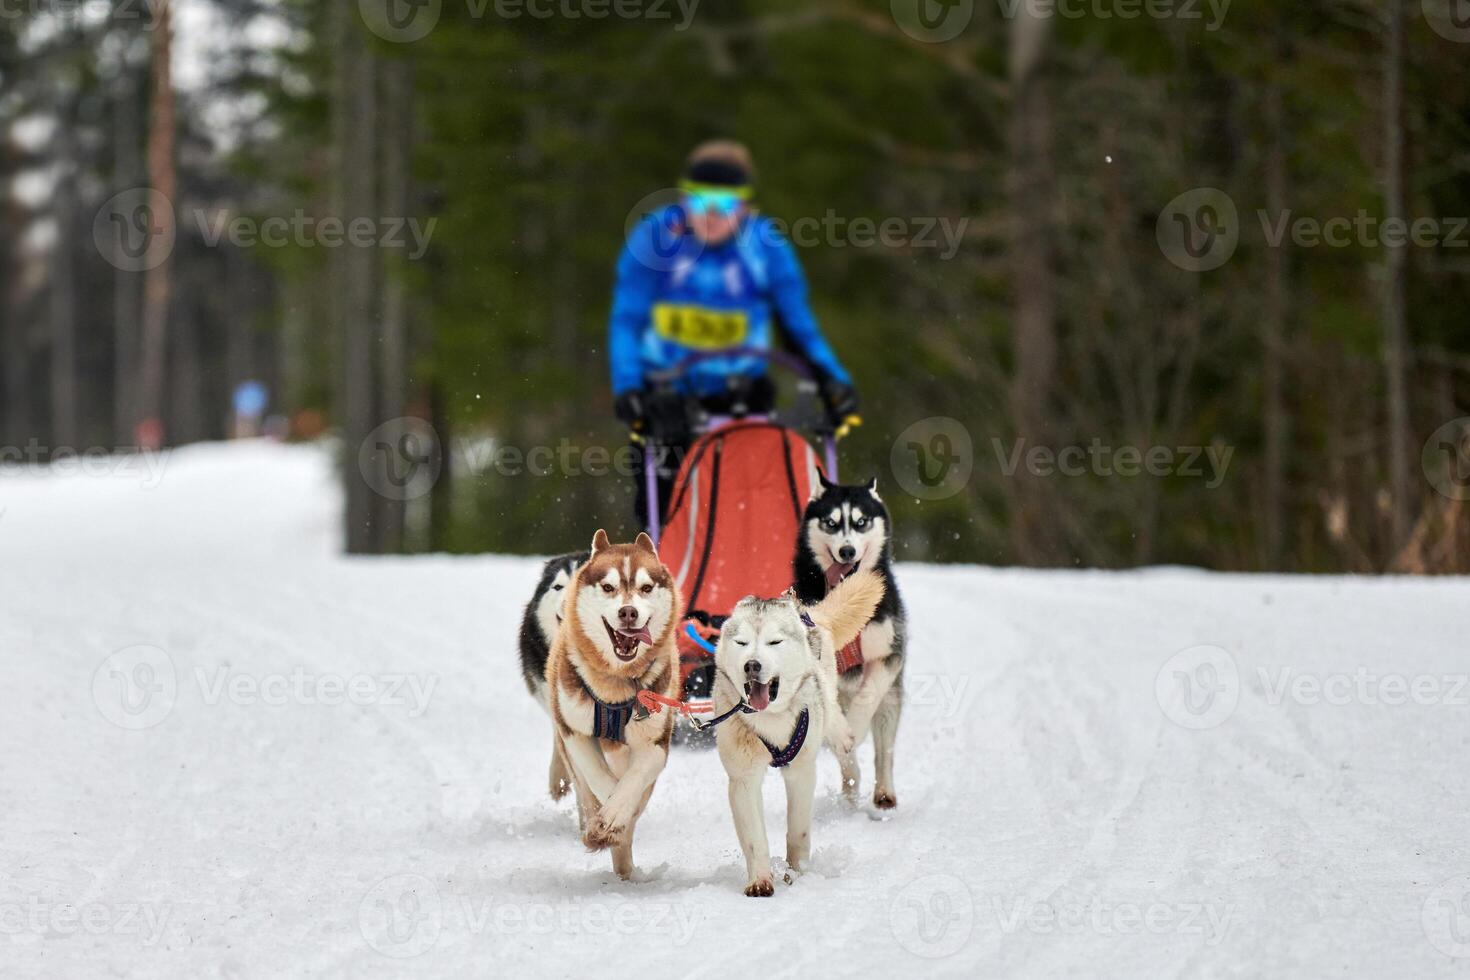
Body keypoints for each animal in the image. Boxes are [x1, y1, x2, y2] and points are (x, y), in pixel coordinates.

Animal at [543, 531, 679, 875]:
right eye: (608, 587)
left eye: (646, 588)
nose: (628, 612)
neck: (616, 687)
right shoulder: (574, 731)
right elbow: (600, 779)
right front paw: (606, 820)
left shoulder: (655, 742)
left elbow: (633, 781)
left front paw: (616, 816)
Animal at [714, 567, 882, 899]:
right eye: (741, 643)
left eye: (774, 642)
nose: (752, 665)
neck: (770, 720)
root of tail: (807, 612)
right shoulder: (743, 778)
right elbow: (754, 837)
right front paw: (761, 879)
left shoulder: (801, 771)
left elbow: (798, 830)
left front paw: (797, 871)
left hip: (824, 695)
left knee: (836, 722)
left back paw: (845, 745)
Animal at [793, 470, 905, 811]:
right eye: (830, 523)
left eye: (861, 522)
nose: (846, 551)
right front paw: (846, 736)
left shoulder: (888, 654)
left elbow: (868, 695)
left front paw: (855, 725)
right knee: (845, 758)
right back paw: (850, 787)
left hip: (890, 703)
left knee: (884, 751)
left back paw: (884, 792)